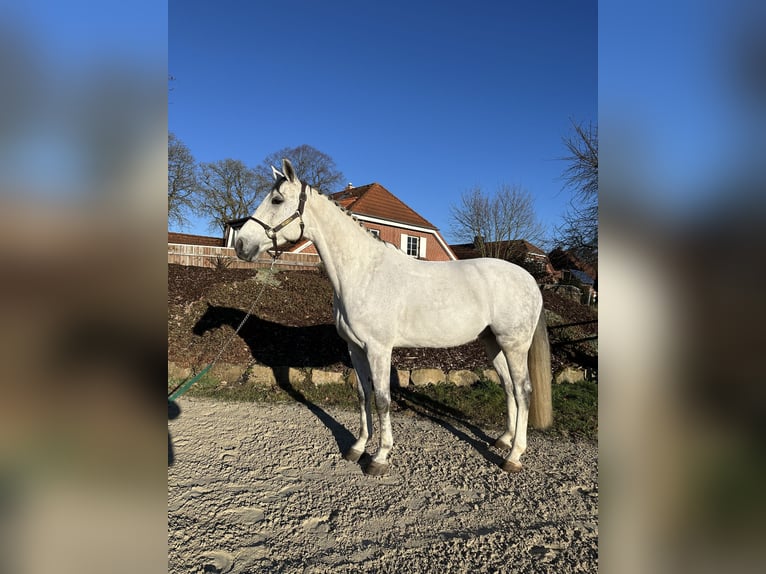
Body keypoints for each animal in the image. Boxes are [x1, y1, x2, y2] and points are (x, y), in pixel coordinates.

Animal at [235, 159, 552, 475]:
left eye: (277, 200)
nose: (241, 244)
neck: (364, 272)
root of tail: (529, 279)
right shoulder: (355, 349)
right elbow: (363, 395)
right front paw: (357, 448)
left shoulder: (378, 349)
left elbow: (382, 399)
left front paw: (379, 457)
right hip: (492, 343)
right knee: (509, 388)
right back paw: (503, 440)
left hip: (514, 345)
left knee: (523, 391)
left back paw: (513, 455)